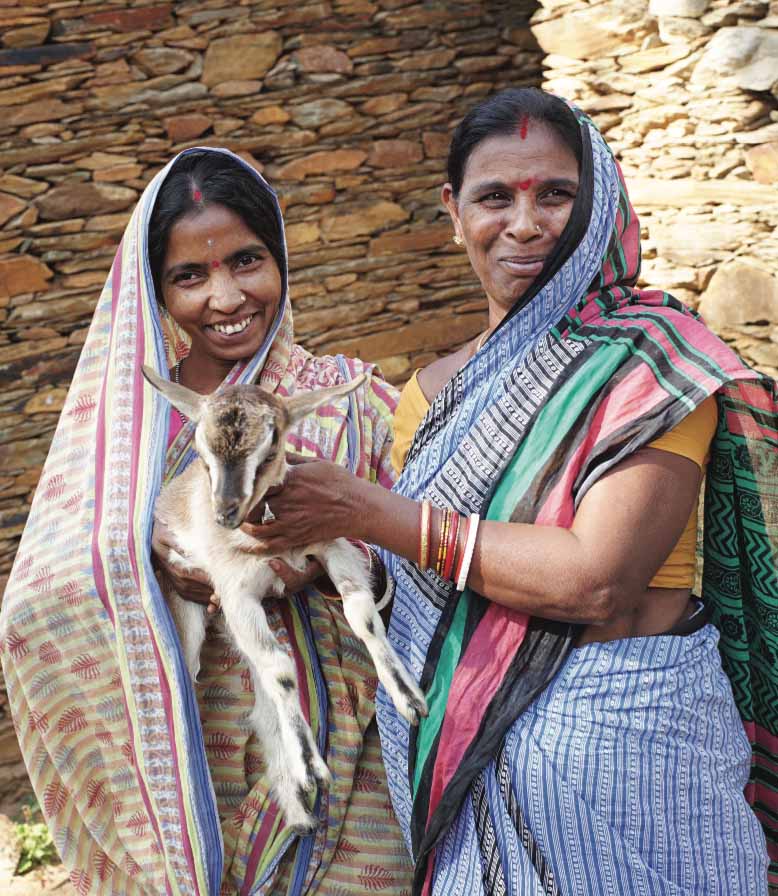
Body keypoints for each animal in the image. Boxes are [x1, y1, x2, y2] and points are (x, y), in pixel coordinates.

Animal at [142, 364, 428, 832]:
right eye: (202, 452)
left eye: (271, 445)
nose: (225, 512)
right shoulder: (235, 592)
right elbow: (281, 669)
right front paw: (313, 767)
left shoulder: (330, 547)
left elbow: (362, 615)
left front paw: (409, 698)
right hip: (192, 613)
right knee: (199, 677)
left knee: (261, 701)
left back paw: (296, 806)